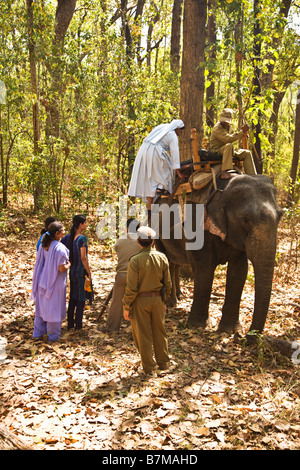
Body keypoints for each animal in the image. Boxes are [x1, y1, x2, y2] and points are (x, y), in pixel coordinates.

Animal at [151, 173, 282, 334]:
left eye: (280, 216)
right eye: (245, 219)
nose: (248, 336)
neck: (225, 186)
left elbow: (238, 273)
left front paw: (230, 330)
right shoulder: (197, 227)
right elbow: (205, 269)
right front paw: (198, 325)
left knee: (176, 262)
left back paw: (179, 297)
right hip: (156, 230)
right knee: (166, 259)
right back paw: (170, 303)